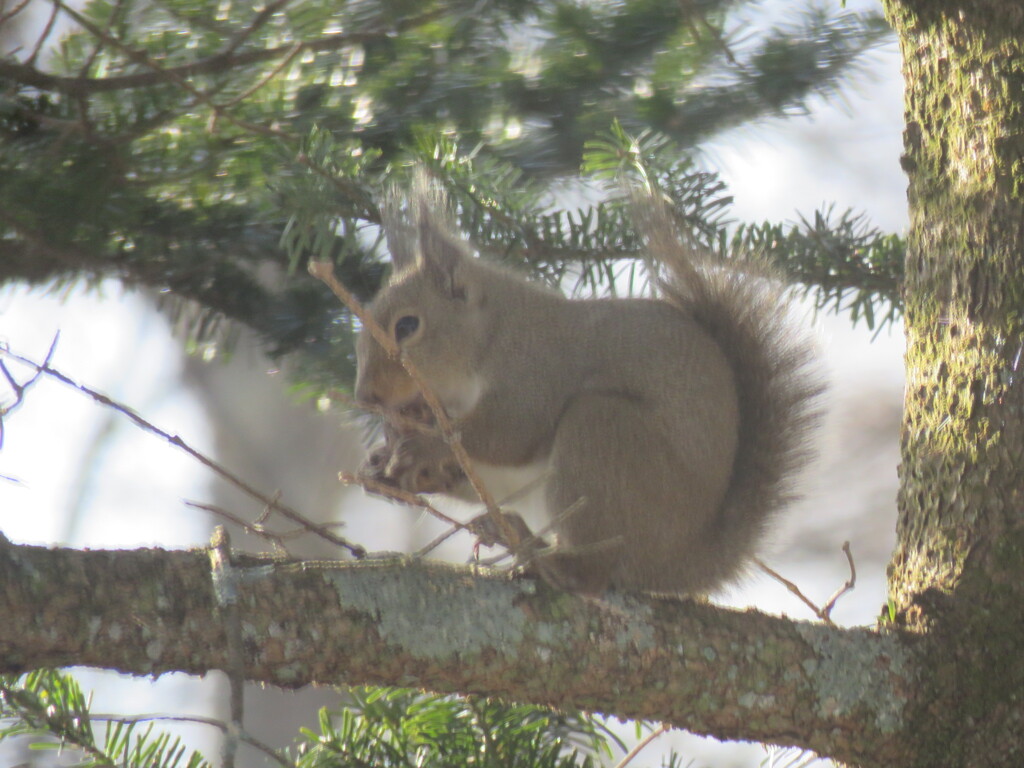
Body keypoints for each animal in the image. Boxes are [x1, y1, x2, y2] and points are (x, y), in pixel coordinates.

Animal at [356, 189, 819, 598]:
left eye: (407, 326)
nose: (365, 397)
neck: (494, 331)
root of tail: (682, 561)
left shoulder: (536, 373)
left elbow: (506, 433)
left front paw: (424, 447)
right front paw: (385, 464)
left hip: (601, 435)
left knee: (592, 575)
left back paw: (547, 559)